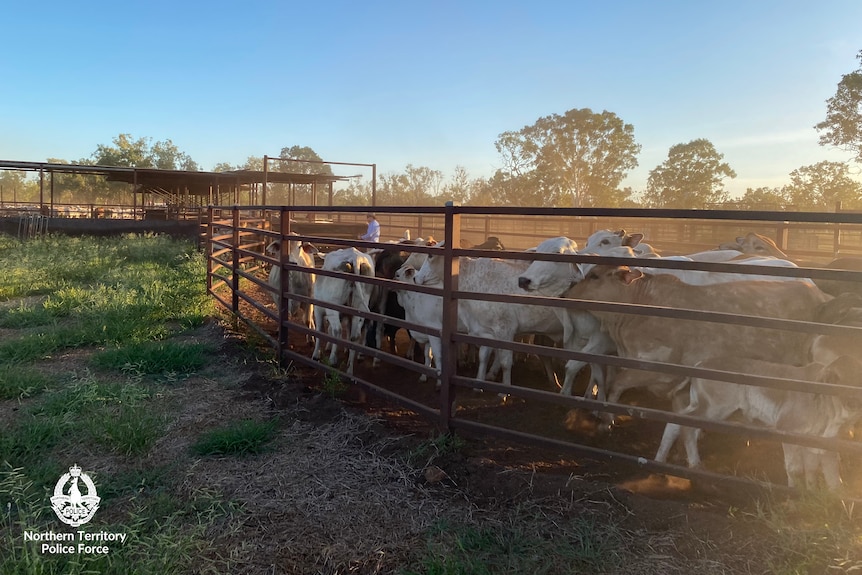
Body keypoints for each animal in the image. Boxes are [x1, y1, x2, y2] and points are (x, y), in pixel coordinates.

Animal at [656, 356, 862, 490]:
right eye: (836, 378)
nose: (853, 401)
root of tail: (701, 363)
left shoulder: (823, 442)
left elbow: (828, 474)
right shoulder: (787, 428)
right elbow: (795, 469)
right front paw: (793, 500)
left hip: (700, 405)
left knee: (674, 422)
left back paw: (660, 463)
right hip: (713, 408)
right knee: (687, 427)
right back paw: (695, 466)